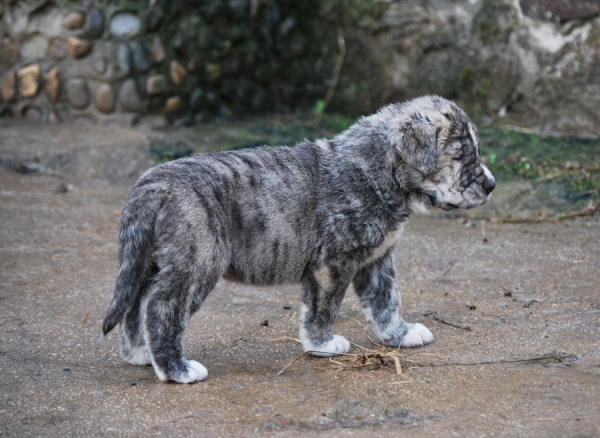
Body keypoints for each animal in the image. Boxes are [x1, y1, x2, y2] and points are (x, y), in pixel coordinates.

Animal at [103, 96, 496, 384]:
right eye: (459, 156)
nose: (491, 184)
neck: (375, 171)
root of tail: (152, 183)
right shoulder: (331, 263)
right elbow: (325, 308)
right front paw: (322, 344)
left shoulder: (376, 259)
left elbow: (387, 299)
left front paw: (400, 334)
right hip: (197, 261)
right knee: (161, 307)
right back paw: (176, 369)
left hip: (150, 259)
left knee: (135, 304)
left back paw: (140, 355)